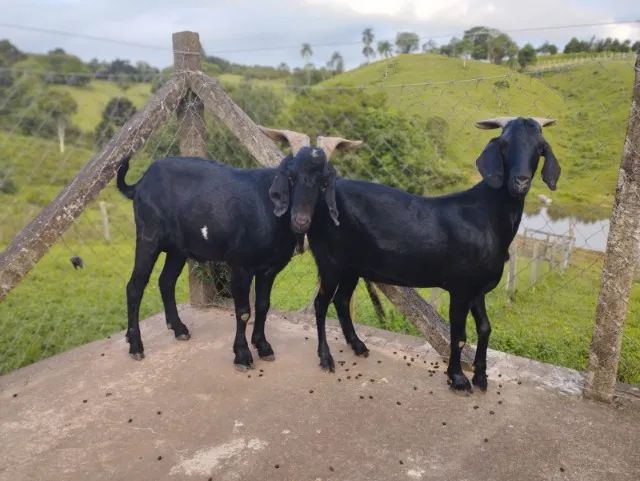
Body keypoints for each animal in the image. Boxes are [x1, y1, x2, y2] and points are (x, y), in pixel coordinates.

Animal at [116, 128, 357, 370]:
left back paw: (179, 329)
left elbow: (263, 305)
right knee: (135, 287)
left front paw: (263, 347)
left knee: (166, 281)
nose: (301, 221)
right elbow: (243, 311)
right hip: (148, 236)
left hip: (177, 249)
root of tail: (141, 183)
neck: (268, 210)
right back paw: (136, 346)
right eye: (291, 177)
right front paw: (242, 355)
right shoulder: (240, 265)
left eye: (324, 183)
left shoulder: (269, 268)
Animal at [307, 117, 561, 392]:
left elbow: (485, 328)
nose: (520, 182)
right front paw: (458, 378)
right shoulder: (461, 287)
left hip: (352, 266)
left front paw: (481, 377)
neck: (485, 215)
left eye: (540, 148)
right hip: (329, 260)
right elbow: (458, 334)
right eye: (503, 145)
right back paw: (325, 358)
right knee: (321, 304)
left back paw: (358, 346)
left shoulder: (478, 289)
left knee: (341, 301)